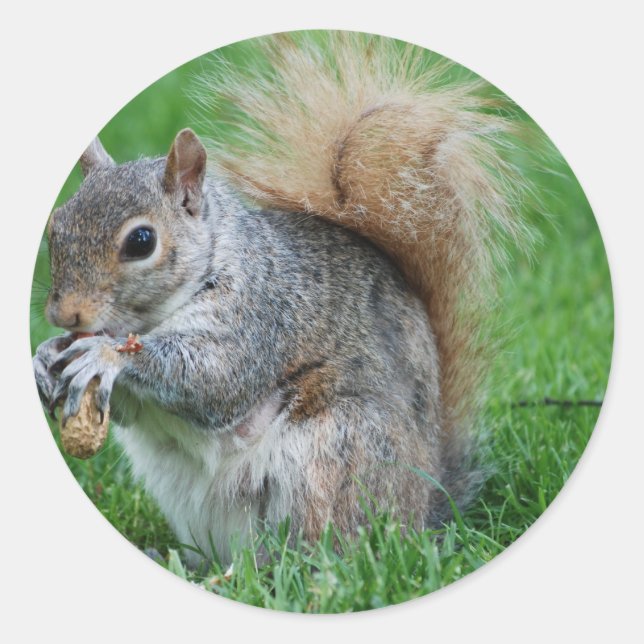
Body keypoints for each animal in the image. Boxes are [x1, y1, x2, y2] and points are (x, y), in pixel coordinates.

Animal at [33, 32, 529, 566]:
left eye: (141, 241)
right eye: (56, 225)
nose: (64, 313)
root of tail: (425, 510)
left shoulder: (261, 312)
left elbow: (215, 378)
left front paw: (105, 354)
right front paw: (45, 356)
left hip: (334, 455)